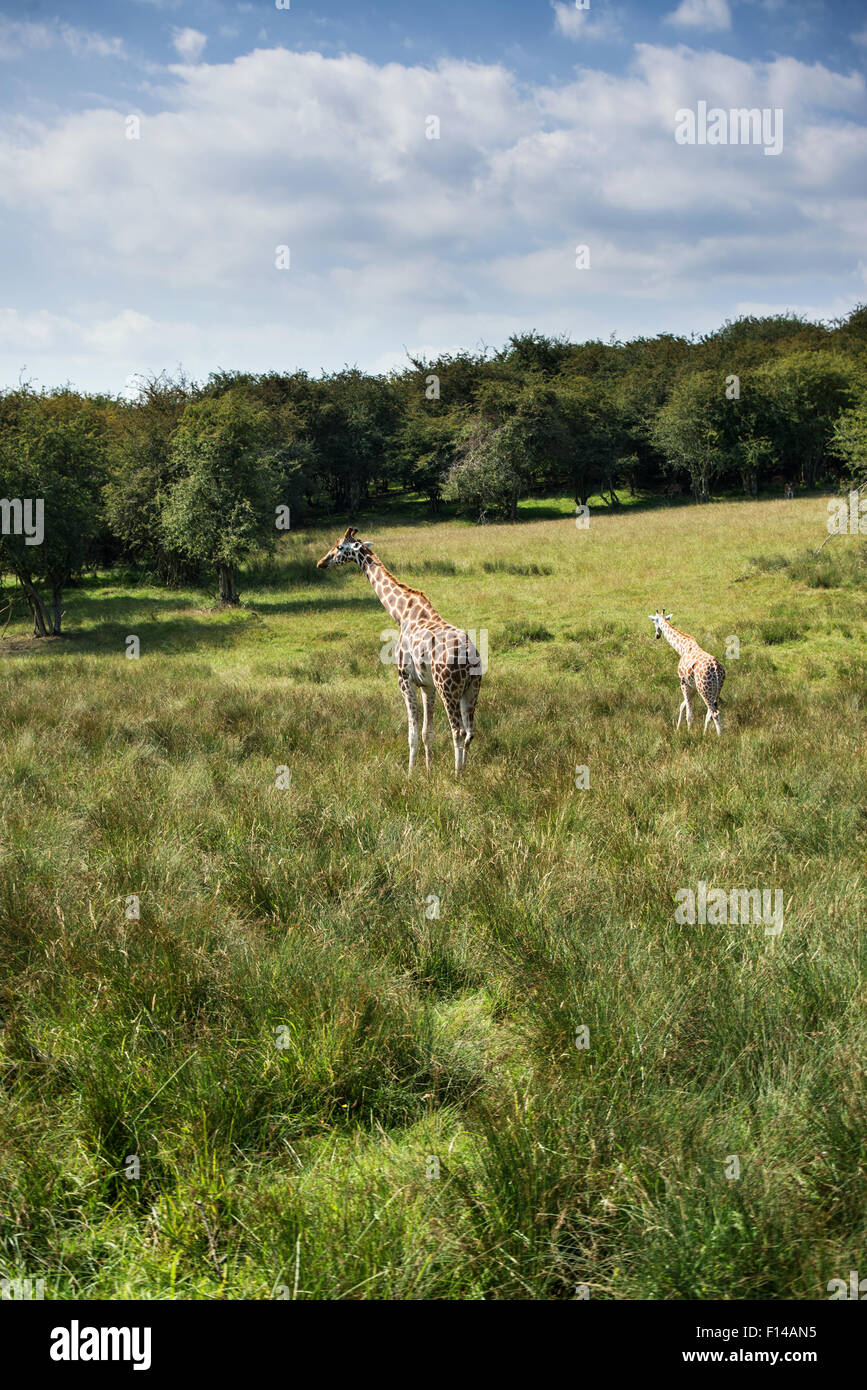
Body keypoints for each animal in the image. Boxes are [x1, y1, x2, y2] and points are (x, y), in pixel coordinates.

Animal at [316, 528, 482, 775]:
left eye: (338, 547)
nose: (321, 562)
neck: (401, 614)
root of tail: (471, 657)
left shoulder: (404, 679)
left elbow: (412, 734)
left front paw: (410, 774)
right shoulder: (427, 685)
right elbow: (426, 732)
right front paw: (428, 771)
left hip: (448, 688)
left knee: (458, 731)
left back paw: (456, 775)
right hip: (471, 689)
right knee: (470, 732)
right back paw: (465, 772)